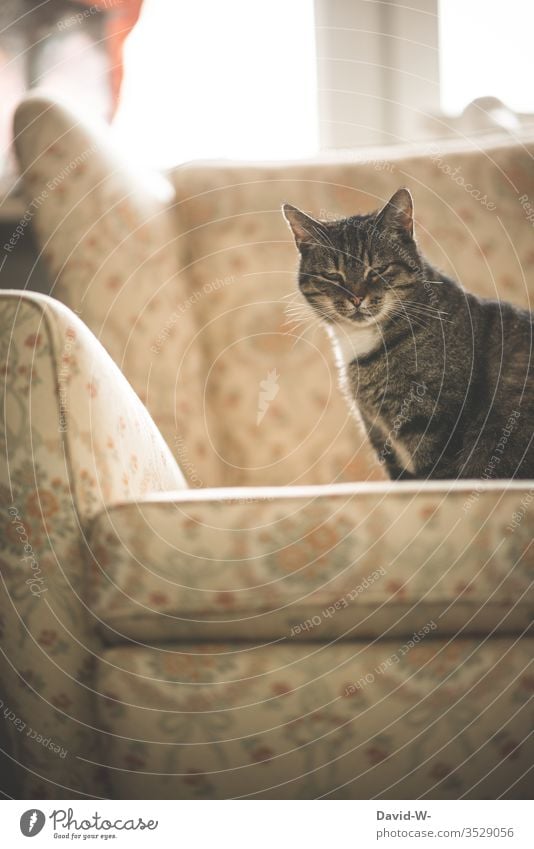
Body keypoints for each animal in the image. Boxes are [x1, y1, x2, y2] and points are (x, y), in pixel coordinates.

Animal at [284, 190, 534, 480]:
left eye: (378, 270)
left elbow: (435, 472)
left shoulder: (432, 421)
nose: (356, 298)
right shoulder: (378, 431)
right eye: (333, 276)